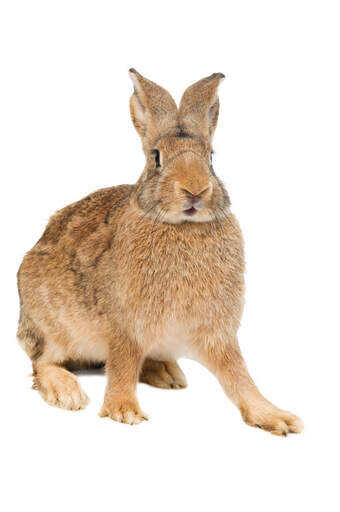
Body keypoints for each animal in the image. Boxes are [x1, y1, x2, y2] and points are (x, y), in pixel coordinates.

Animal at [17, 68, 302, 434]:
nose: (195, 191)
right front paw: (124, 410)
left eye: (211, 157)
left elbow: (239, 377)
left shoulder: (218, 334)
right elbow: (122, 366)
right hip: (50, 325)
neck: (182, 228)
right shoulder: (126, 326)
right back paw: (67, 392)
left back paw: (168, 374)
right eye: (156, 157)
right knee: (42, 363)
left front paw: (276, 417)